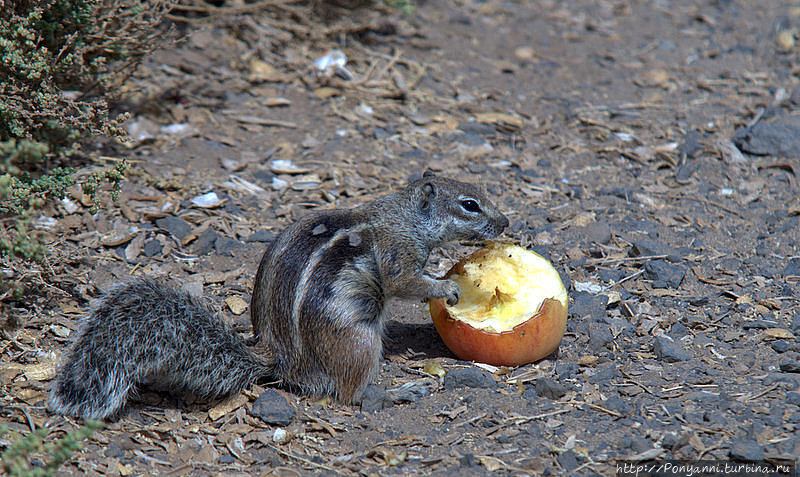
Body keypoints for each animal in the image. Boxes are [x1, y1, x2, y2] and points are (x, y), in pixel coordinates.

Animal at [48, 170, 506, 416]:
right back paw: (399, 392)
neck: (406, 215)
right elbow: (404, 281)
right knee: (353, 394)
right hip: (358, 339)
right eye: (469, 205)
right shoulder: (399, 252)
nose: (505, 223)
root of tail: (282, 361)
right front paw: (445, 286)